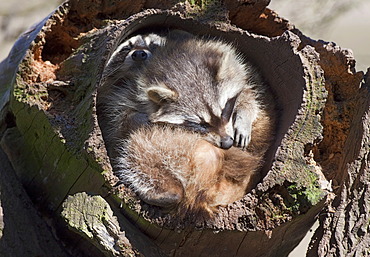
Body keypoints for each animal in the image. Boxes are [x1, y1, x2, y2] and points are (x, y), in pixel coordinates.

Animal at [97, 29, 276, 214]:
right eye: (126, 48)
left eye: (152, 44)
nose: (139, 54)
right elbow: (119, 121)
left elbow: (250, 91)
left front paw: (244, 114)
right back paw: (169, 193)